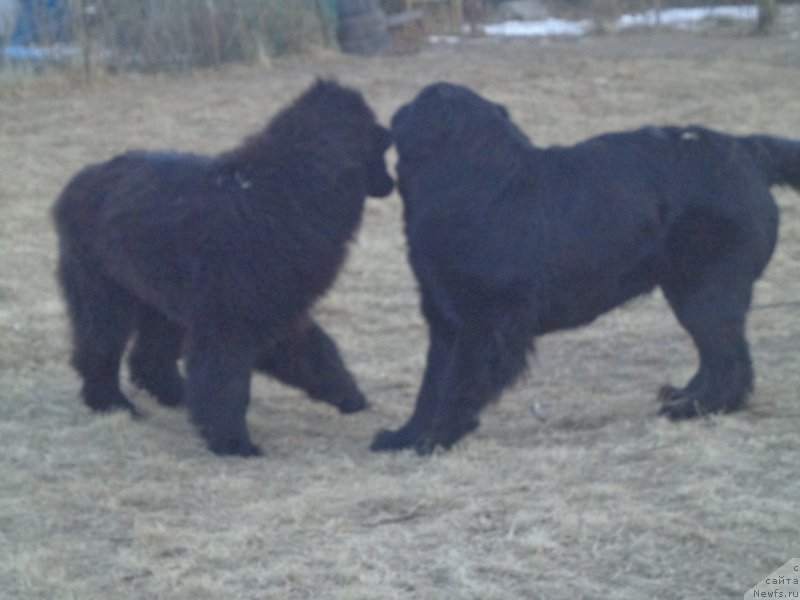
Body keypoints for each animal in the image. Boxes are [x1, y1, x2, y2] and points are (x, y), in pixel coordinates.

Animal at [53, 78, 394, 454]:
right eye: (380, 148)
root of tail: (80, 180)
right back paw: (111, 403)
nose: (392, 183)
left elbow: (316, 353)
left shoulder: (278, 309)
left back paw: (176, 395)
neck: (285, 192)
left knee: (148, 357)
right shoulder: (231, 318)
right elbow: (226, 380)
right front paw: (232, 442)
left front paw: (349, 395)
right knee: (98, 347)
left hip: (161, 299)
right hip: (105, 293)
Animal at [374, 81, 800, 454]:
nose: (390, 116)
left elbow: (457, 385)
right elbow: (431, 386)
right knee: (721, 355)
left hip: (703, 290)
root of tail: (747, 150)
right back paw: (686, 396)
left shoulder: (483, 321)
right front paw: (404, 435)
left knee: (729, 359)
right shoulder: (445, 320)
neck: (476, 183)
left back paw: (696, 409)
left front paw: (436, 438)